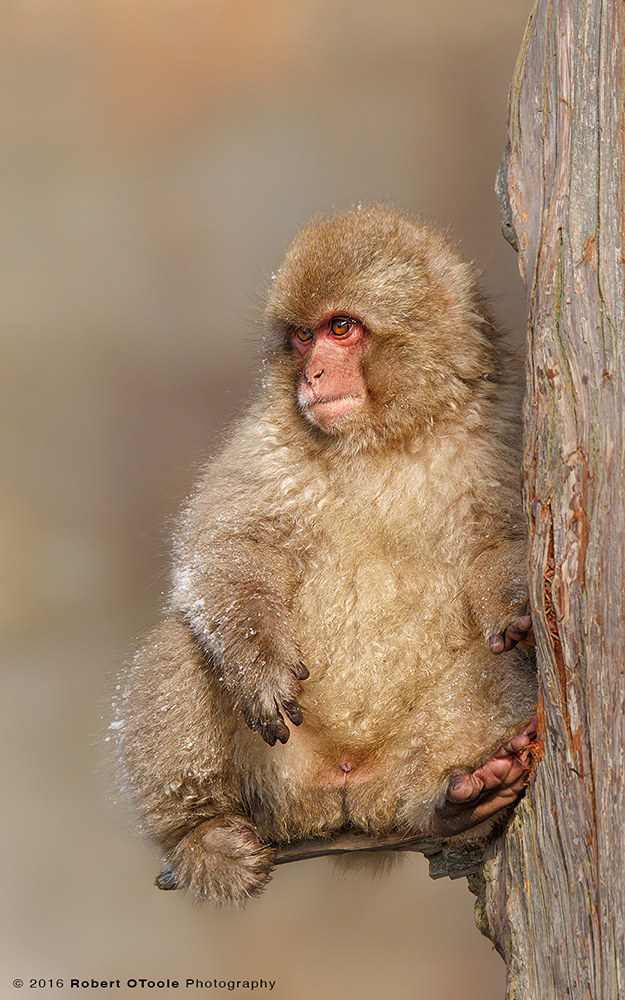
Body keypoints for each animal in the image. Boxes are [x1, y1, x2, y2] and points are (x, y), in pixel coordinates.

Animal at [117, 205, 536, 908]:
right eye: (300, 338)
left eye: (341, 328)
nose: (313, 375)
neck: (383, 440)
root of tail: (345, 790)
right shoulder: (267, 444)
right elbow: (224, 555)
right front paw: (257, 664)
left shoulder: (501, 434)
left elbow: (500, 556)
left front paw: (514, 606)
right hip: (276, 781)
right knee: (183, 638)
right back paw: (198, 833)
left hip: (402, 767)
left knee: (510, 668)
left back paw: (457, 806)